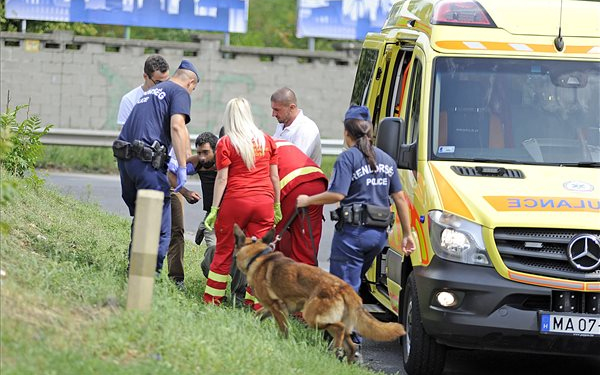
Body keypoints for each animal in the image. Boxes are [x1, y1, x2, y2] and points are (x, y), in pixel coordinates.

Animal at [232, 225, 406, 362]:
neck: (257, 256)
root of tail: (345, 288)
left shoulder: (277, 308)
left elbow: (283, 328)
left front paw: (282, 341)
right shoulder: (274, 307)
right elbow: (256, 315)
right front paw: (249, 326)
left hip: (312, 317)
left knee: (340, 328)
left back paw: (335, 350)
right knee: (351, 344)